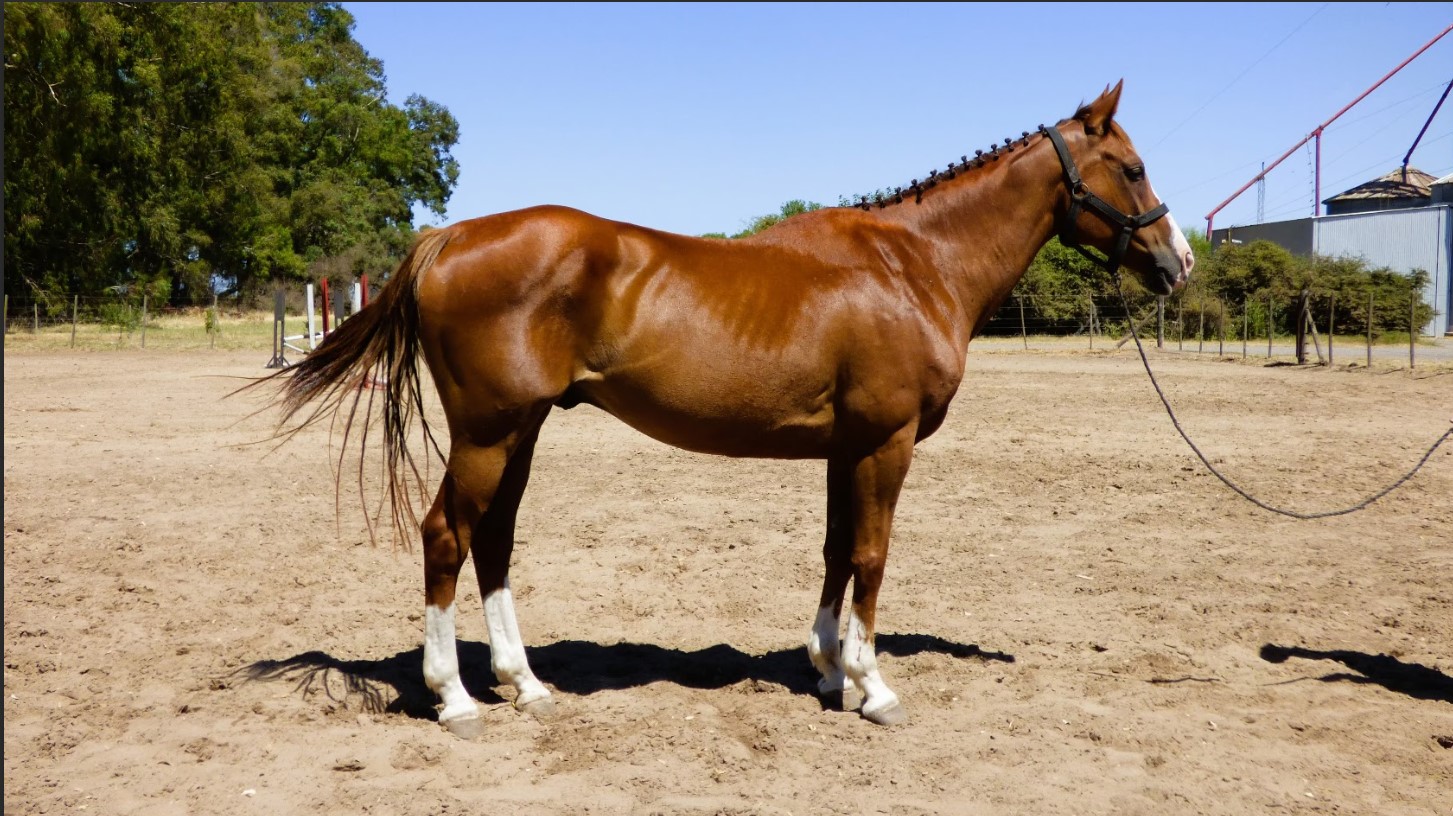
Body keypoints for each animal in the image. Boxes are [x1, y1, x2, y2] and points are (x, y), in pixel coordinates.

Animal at [268, 81, 1193, 734]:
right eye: (1133, 168)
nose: (1177, 261)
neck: (912, 264)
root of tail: (449, 237)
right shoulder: (885, 443)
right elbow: (871, 557)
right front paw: (872, 685)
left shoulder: (845, 447)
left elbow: (835, 552)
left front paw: (827, 668)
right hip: (489, 433)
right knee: (445, 537)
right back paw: (454, 698)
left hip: (518, 433)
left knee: (491, 541)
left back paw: (523, 684)